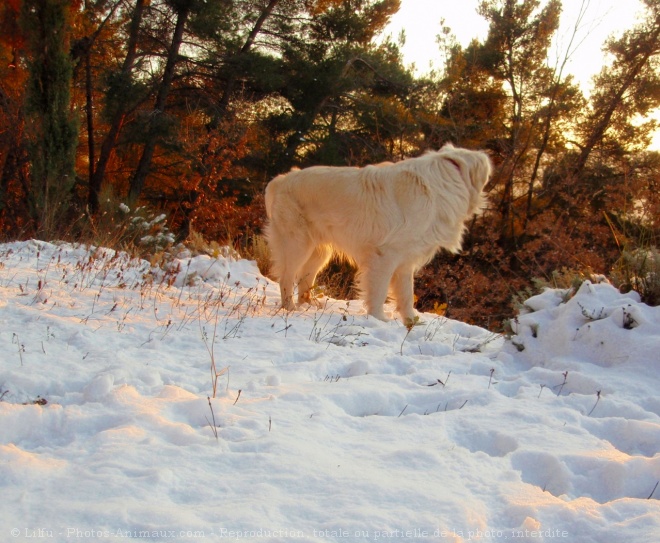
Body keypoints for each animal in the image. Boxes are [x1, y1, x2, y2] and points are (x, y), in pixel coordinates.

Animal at [262, 144, 490, 324]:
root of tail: (281, 180)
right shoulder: (385, 255)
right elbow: (379, 291)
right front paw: (378, 318)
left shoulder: (405, 261)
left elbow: (406, 294)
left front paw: (411, 321)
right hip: (297, 244)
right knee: (286, 277)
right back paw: (290, 308)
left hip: (320, 251)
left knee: (304, 279)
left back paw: (309, 305)